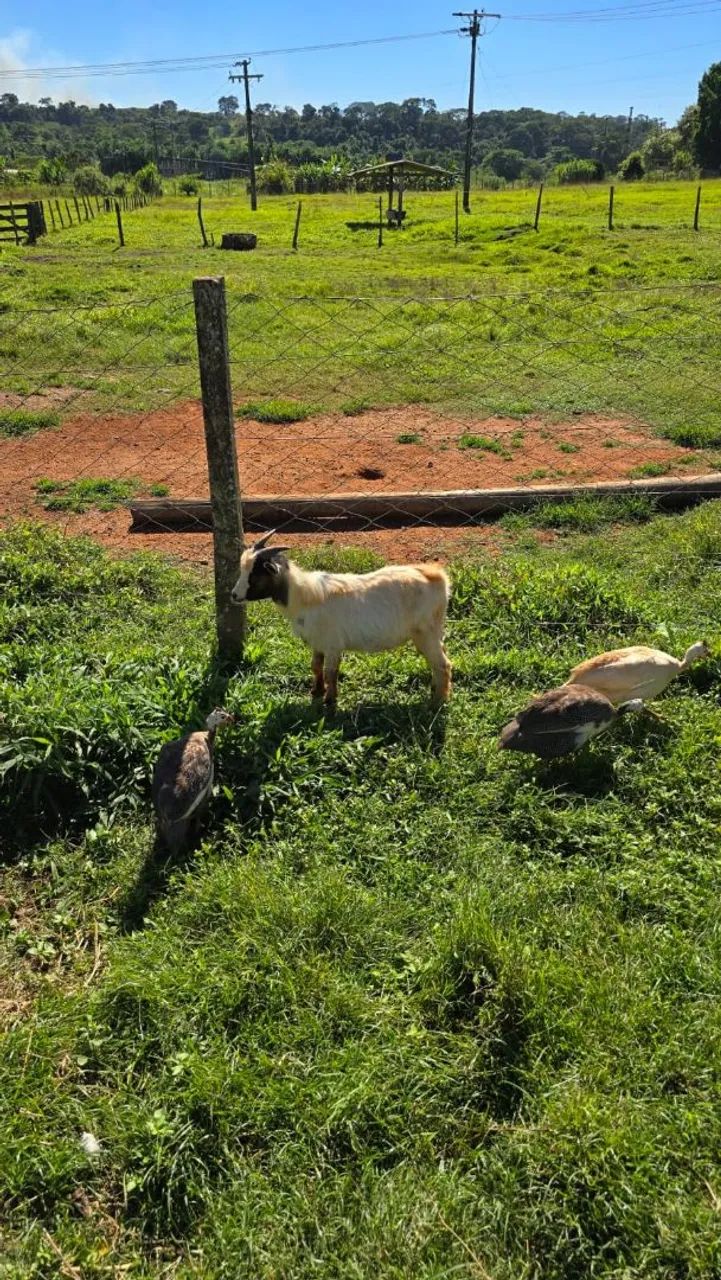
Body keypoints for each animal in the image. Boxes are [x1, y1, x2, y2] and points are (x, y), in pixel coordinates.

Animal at [231, 532, 452, 707]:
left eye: (255, 573)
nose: (233, 595)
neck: (304, 596)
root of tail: (437, 576)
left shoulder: (332, 644)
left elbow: (331, 672)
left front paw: (330, 701)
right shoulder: (317, 642)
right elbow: (316, 666)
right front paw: (316, 691)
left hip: (426, 632)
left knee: (443, 665)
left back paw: (436, 702)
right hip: (430, 633)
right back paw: (435, 690)